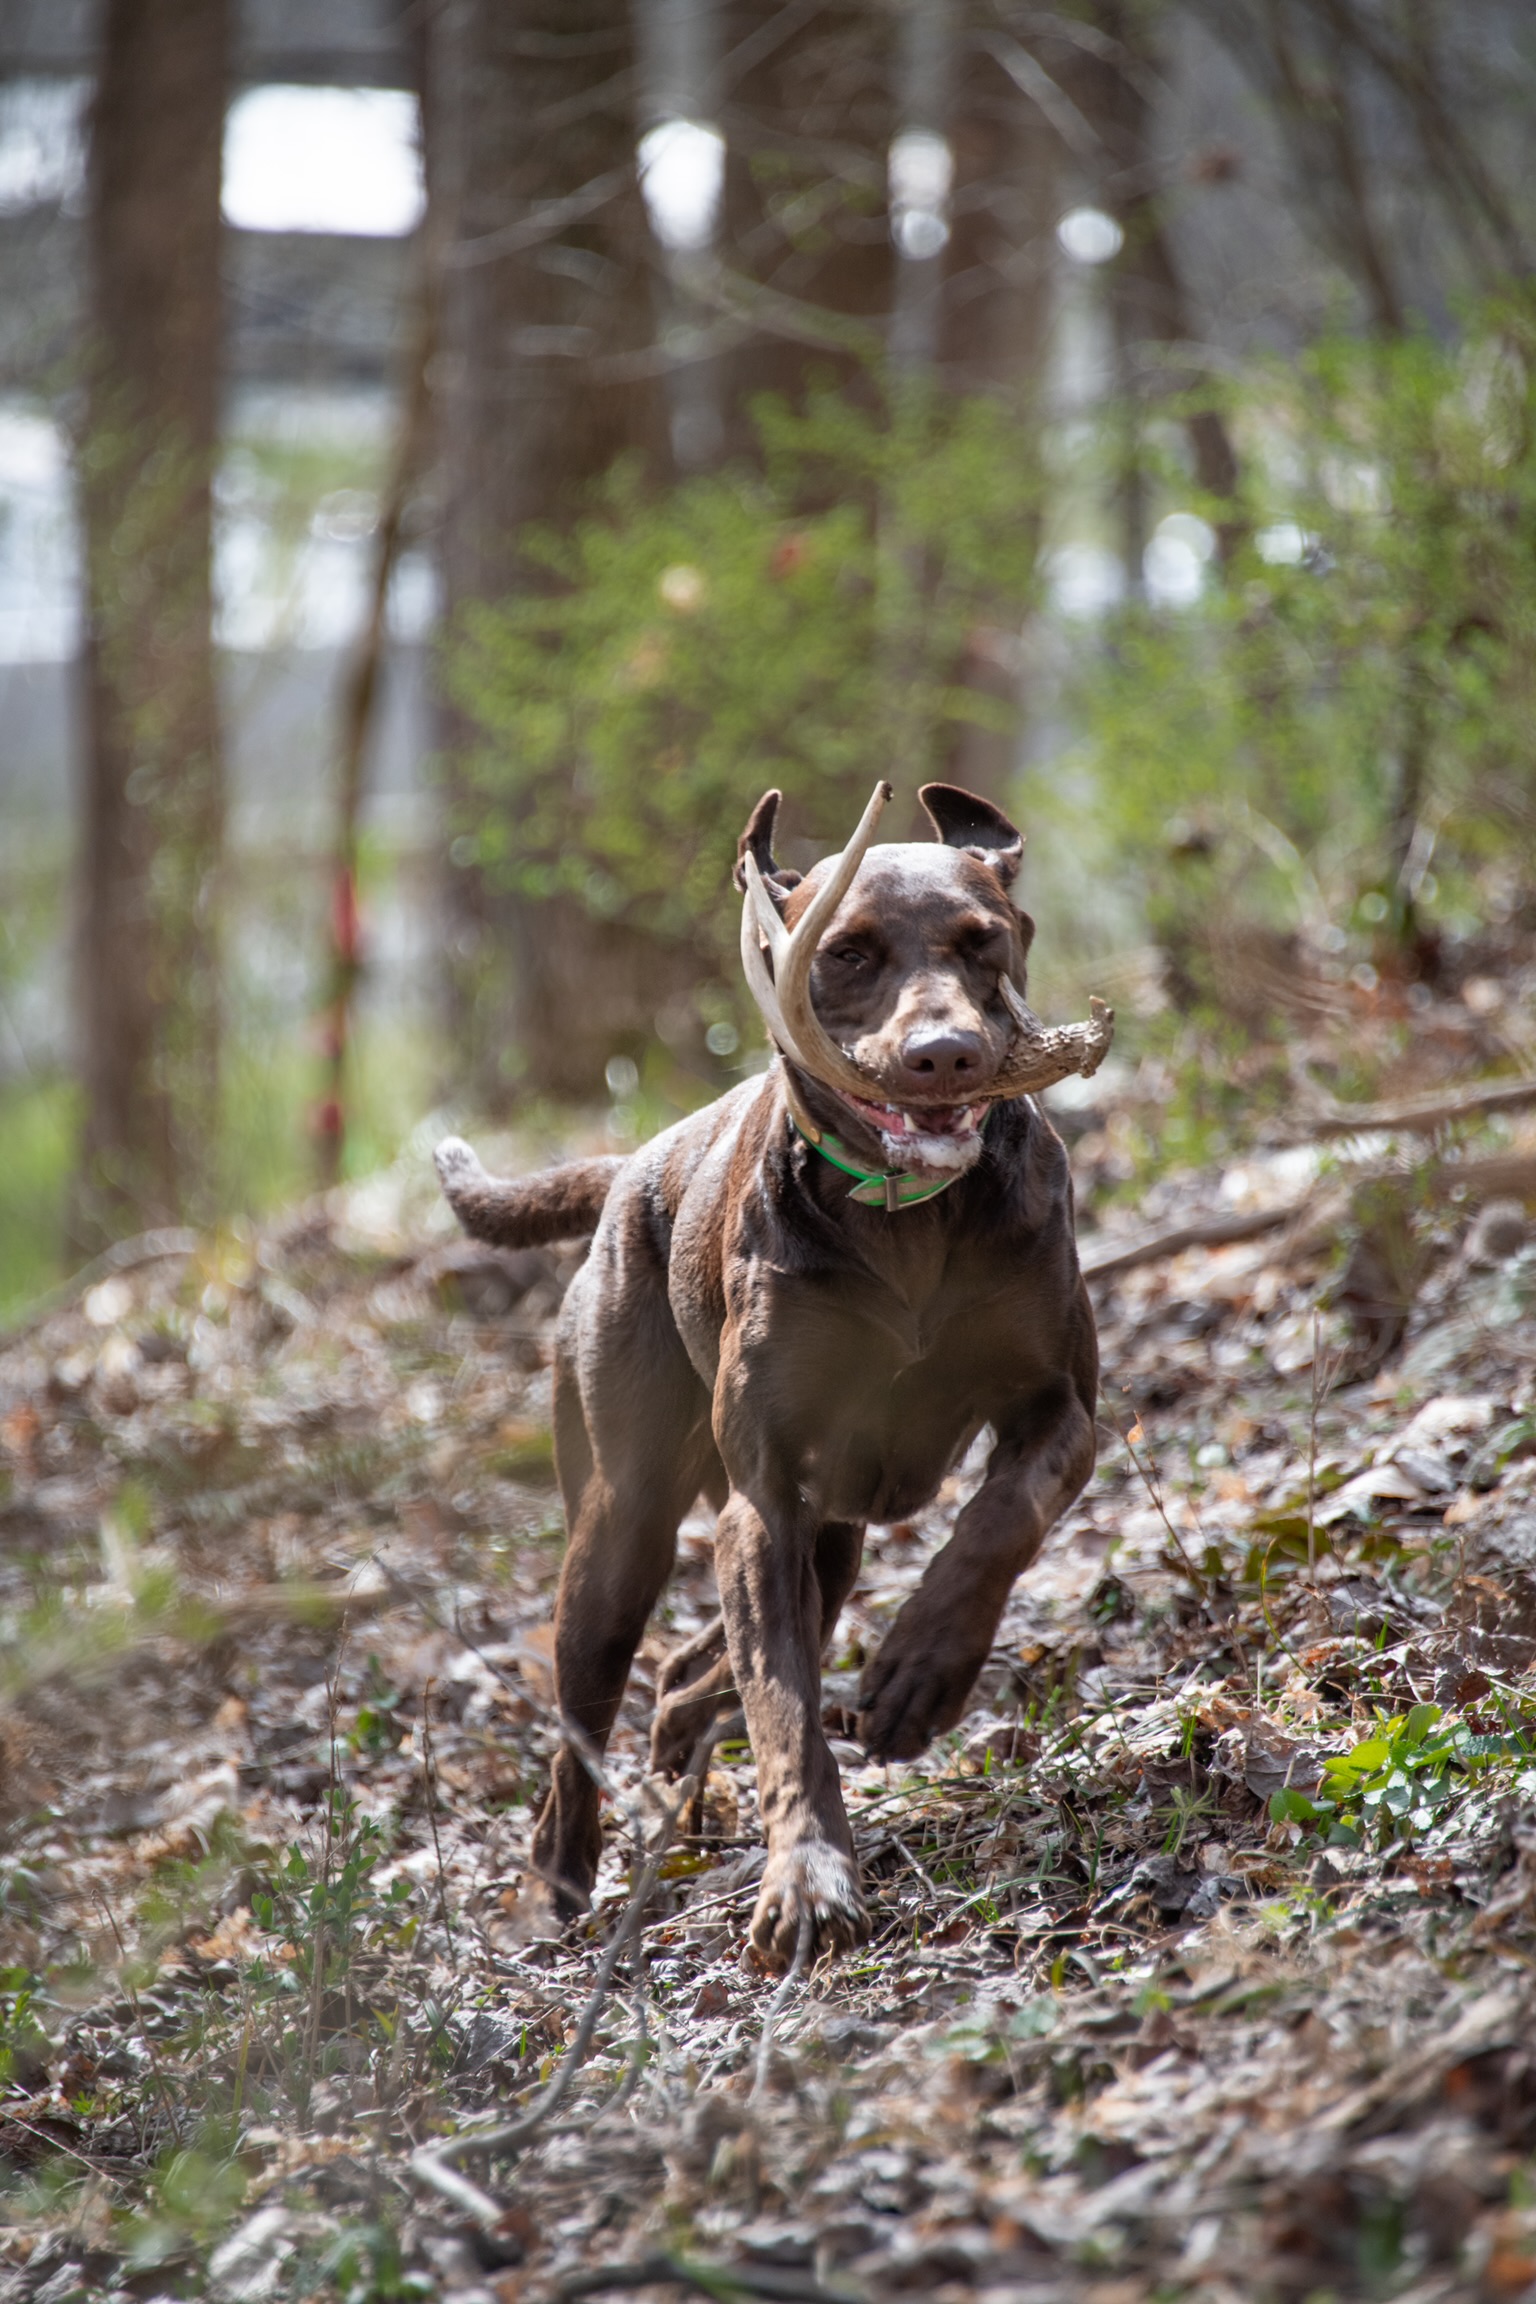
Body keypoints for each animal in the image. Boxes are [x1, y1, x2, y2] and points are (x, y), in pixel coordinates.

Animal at [437, 774, 1109, 1963]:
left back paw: (685, 1773)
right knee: (586, 1717)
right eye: (846, 953)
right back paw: (556, 1886)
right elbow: (784, 1707)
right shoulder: (764, 1496)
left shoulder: (1058, 1405)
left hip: (829, 1538)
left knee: (687, 1677)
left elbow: (1000, 1522)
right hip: (622, 1526)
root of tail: (631, 1167)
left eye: (981, 942)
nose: (945, 1054)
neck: (909, 1221)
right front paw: (809, 1881)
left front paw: (919, 1675)